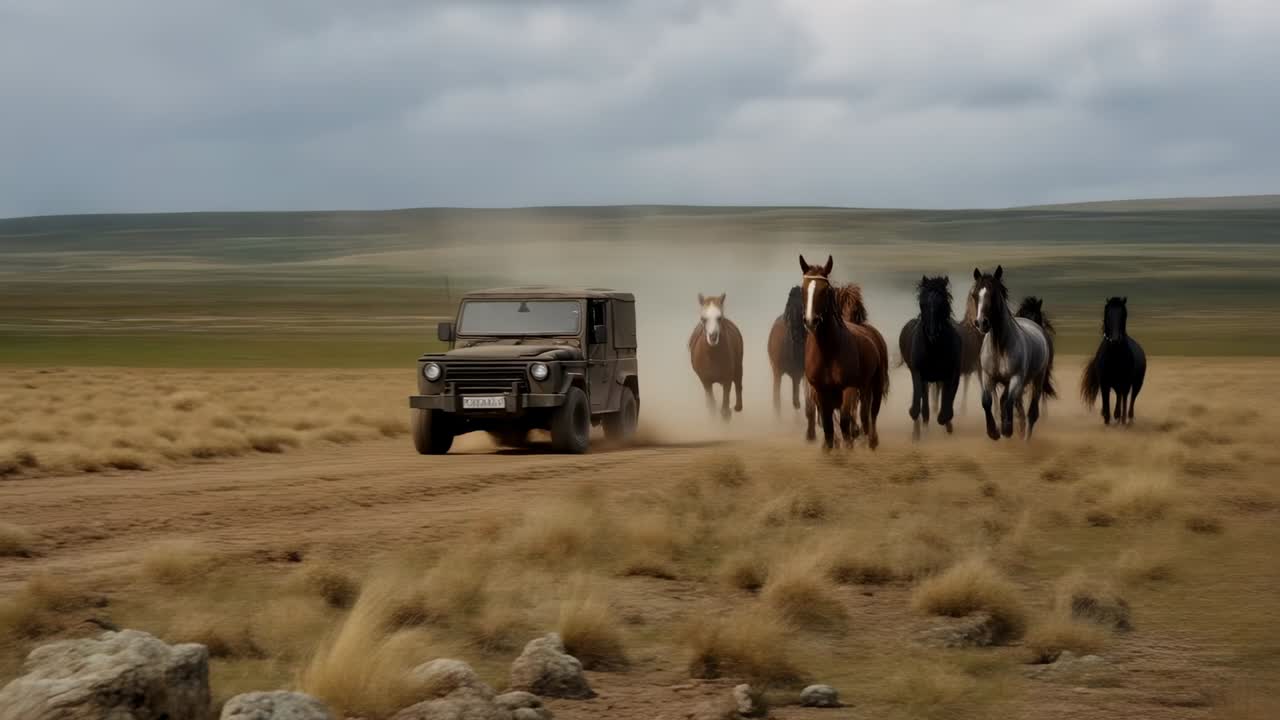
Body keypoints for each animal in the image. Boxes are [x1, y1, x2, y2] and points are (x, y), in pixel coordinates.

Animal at [767, 286, 806, 416]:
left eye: (804, 307)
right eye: (788, 307)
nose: (796, 335)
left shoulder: (800, 374)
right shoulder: (777, 371)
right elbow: (777, 401)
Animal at [798, 254, 889, 450]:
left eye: (825, 290)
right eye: (803, 289)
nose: (810, 321)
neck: (828, 352)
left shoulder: (848, 388)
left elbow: (846, 421)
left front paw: (849, 448)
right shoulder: (821, 391)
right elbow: (828, 426)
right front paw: (830, 449)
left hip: (874, 385)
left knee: (871, 414)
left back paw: (871, 441)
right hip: (863, 388)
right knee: (863, 415)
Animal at [897, 276, 963, 440]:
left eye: (942, 303)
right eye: (922, 303)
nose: (932, 333)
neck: (934, 348)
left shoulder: (952, 374)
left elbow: (947, 405)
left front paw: (946, 423)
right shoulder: (917, 372)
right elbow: (916, 405)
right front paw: (916, 433)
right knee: (923, 397)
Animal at [971, 266, 1056, 441]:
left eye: (994, 294)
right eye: (975, 295)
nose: (981, 323)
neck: (999, 347)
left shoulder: (1016, 378)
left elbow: (1008, 401)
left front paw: (1006, 430)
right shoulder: (988, 376)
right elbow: (987, 401)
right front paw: (993, 431)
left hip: (1037, 379)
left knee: (1031, 413)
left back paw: (1025, 439)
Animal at [1081, 297, 1147, 426]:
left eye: (1123, 314)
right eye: (1107, 314)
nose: (1115, 339)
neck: (1114, 356)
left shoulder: (1125, 383)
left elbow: (1124, 401)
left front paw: (1122, 420)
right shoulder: (1104, 383)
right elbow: (1106, 403)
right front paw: (1107, 418)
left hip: (1137, 383)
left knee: (1131, 399)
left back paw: (1128, 419)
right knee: (1119, 397)